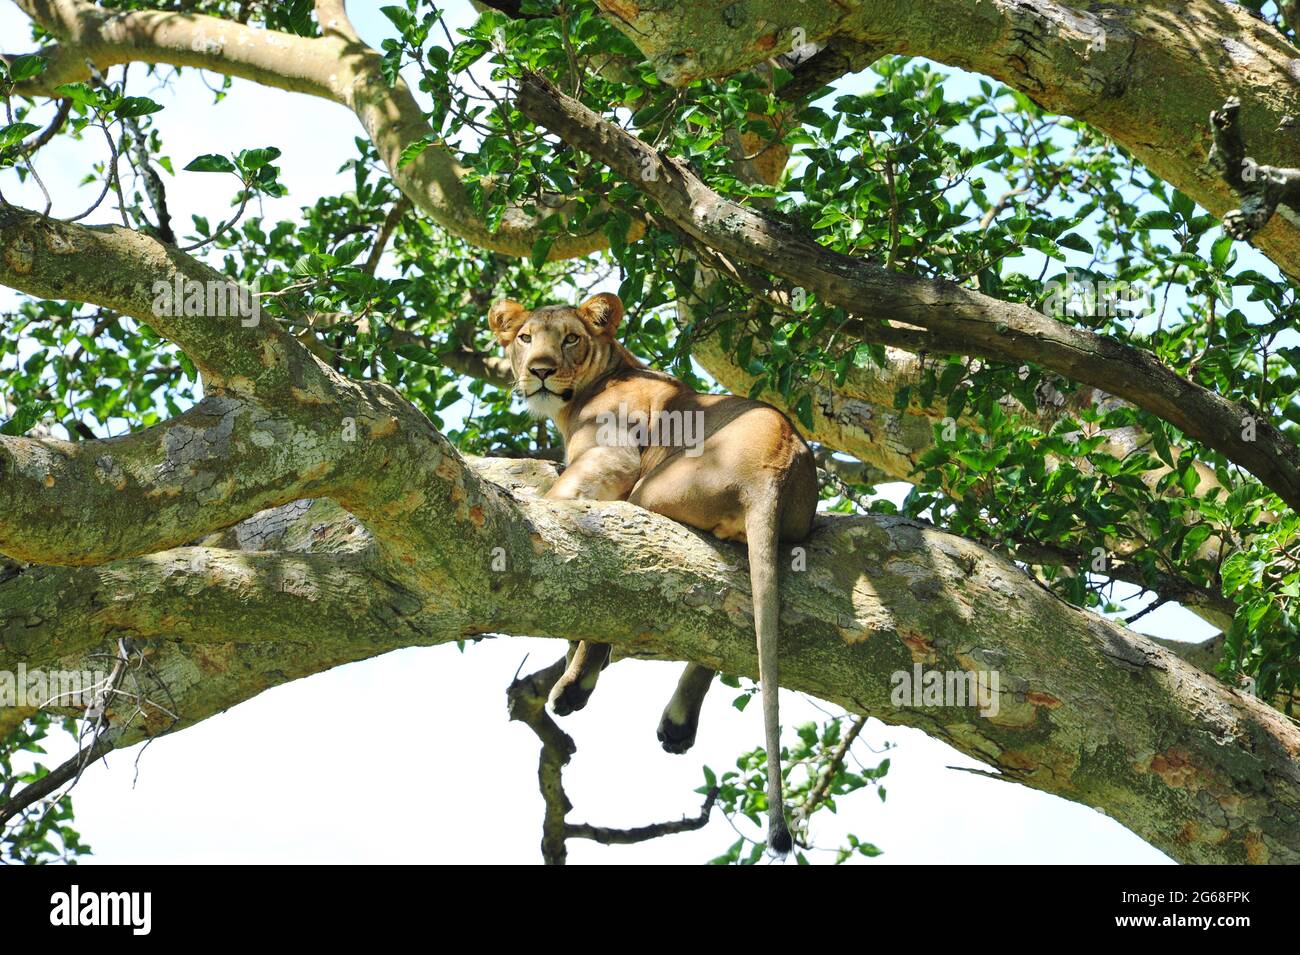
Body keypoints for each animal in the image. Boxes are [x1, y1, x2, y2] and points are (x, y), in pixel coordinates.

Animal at [488, 292, 818, 854]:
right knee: (730, 623)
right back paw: (676, 723)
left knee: (630, 589)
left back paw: (575, 686)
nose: (540, 370)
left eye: (570, 338)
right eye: (525, 338)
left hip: (649, 488)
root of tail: (773, 471)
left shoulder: (612, 456)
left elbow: (558, 498)